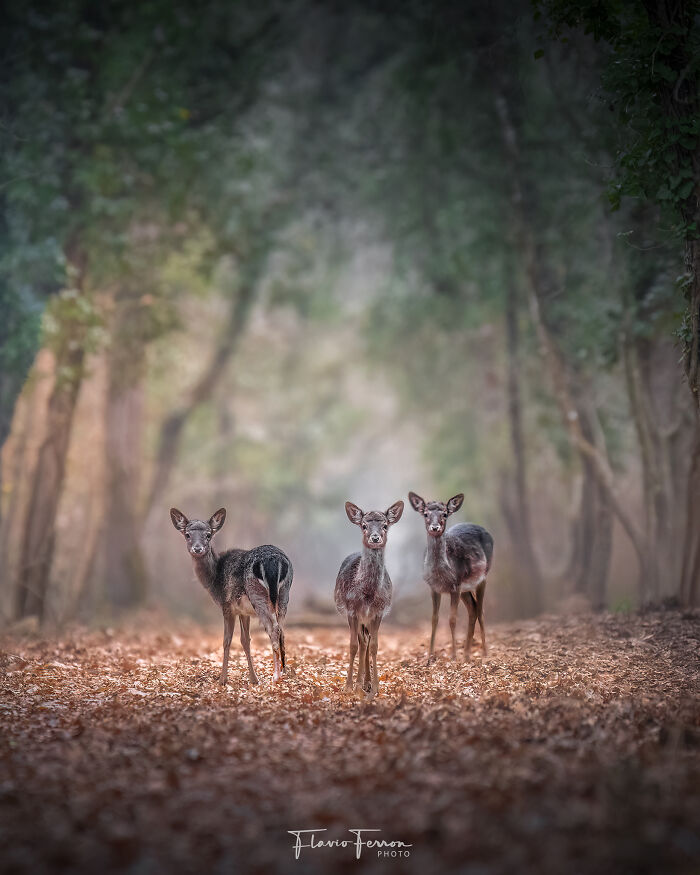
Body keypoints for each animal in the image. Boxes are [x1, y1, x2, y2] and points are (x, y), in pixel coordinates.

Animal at [170, 507, 292, 686]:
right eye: (187, 534)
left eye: (208, 534)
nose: (197, 549)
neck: (214, 579)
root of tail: (274, 561)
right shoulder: (243, 611)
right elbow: (245, 640)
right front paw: (254, 679)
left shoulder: (227, 605)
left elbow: (226, 640)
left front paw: (222, 680)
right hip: (284, 595)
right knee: (282, 629)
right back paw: (285, 672)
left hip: (258, 596)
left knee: (274, 629)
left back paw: (275, 676)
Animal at [334, 499, 404, 699]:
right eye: (364, 525)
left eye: (385, 525)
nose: (375, 537)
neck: (367, 595)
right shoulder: (352, 610)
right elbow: (352, 646)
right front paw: (348, 686)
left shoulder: (378, 611)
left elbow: (374, 646)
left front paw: (375, 688)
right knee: (361, 643)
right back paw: (359, 683)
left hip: (367, 620)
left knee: (366, 642)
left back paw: (365, 682)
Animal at [408, 492, 493, 663]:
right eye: (425, 514)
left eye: (445, 514)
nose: (435, 527)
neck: (441, 574)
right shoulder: (434, 588)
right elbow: (434, 619)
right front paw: (430, 657)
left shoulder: (456, 584)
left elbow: (452, 619)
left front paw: (453, 656)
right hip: (466, 588)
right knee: (473, 609)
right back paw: (467, 654)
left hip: (482, 577)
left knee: (480, 611)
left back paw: (484, 653)